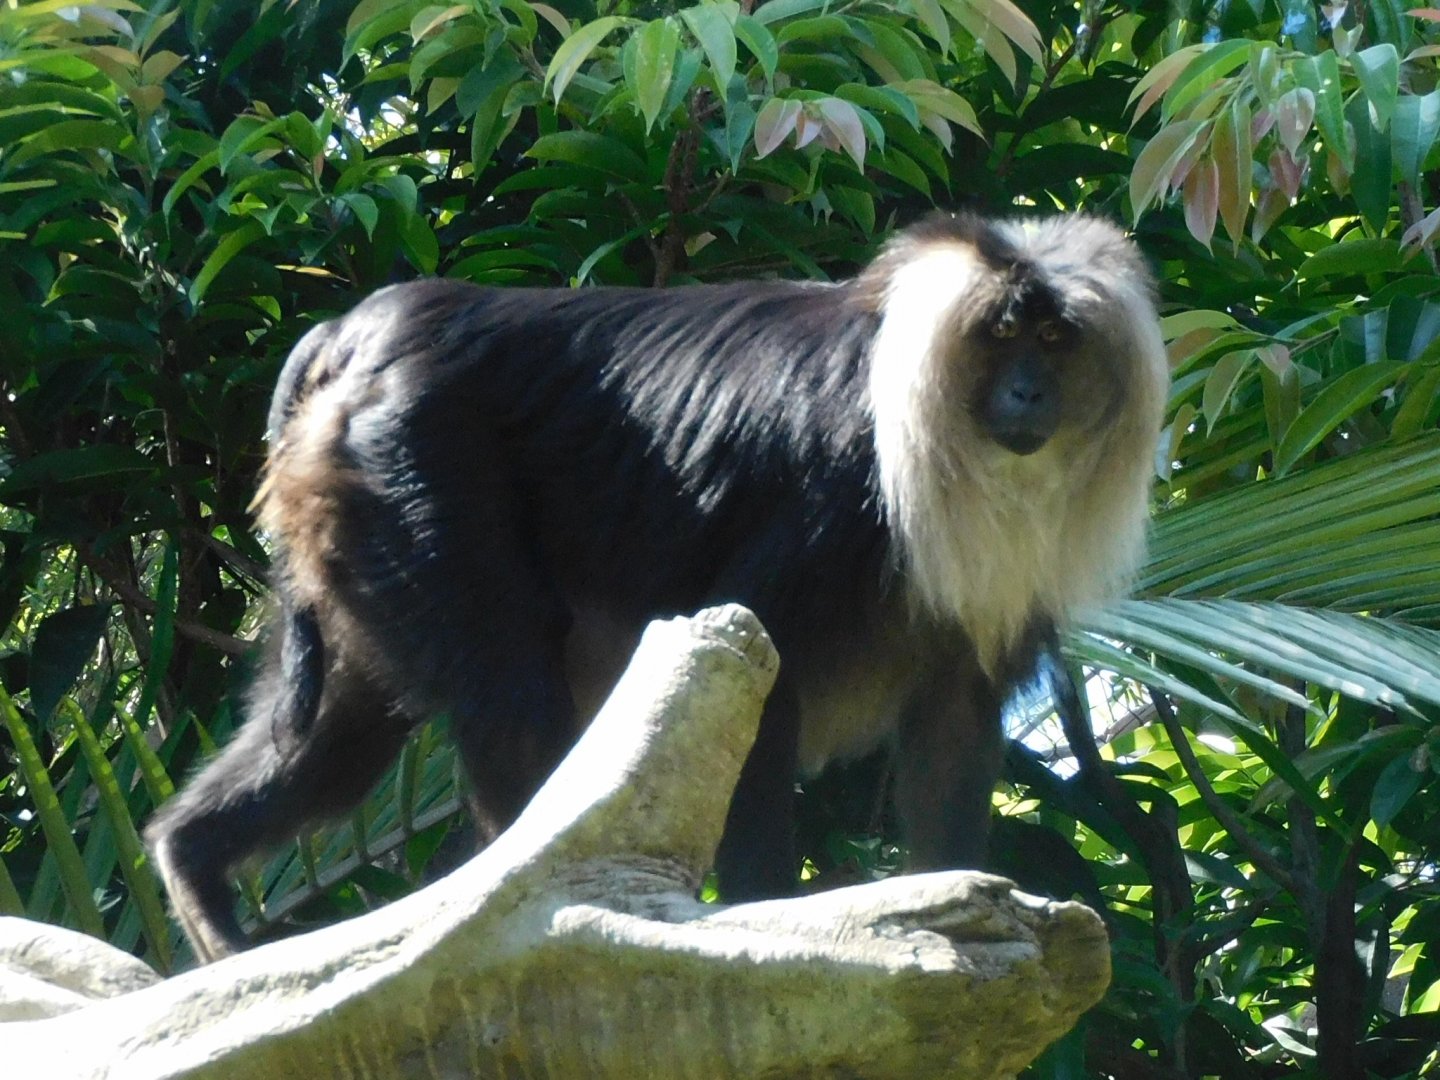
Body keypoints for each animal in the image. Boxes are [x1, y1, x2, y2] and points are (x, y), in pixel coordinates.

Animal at [144, 212, 1168, 961]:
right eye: (1002, 336)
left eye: (1053, 338)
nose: (1030, 395)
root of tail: (359, 330)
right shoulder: (835, 495)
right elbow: (760, 679)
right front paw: (773, 919)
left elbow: (954, 726)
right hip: (408, 465)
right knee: (511, 701)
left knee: (342, 735)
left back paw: (196, 873)